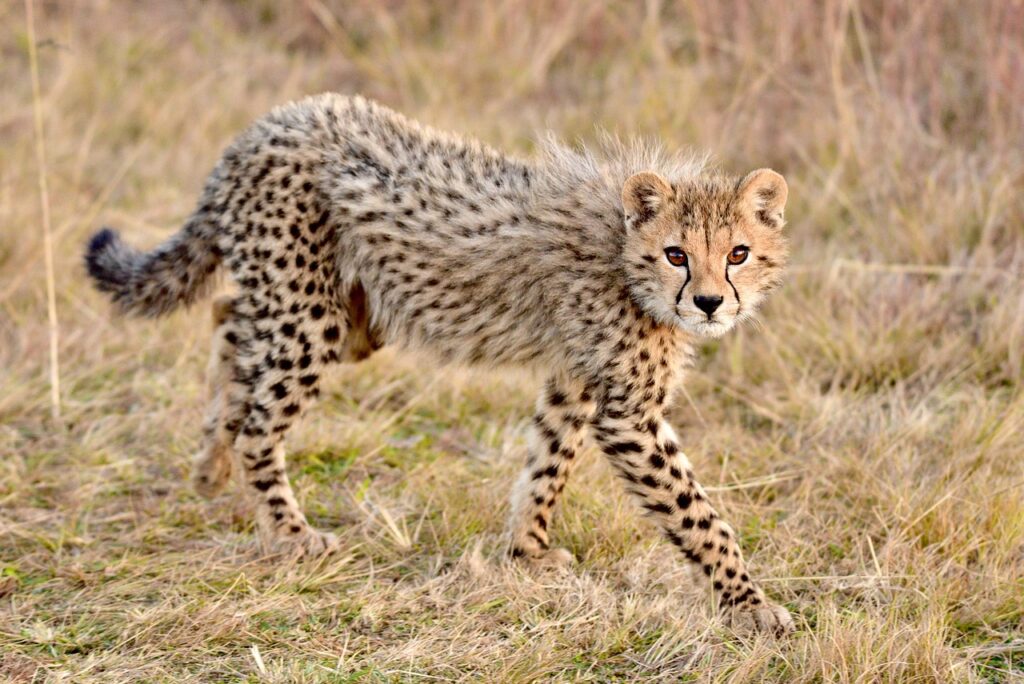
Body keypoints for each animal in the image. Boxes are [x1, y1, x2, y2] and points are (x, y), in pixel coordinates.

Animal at [86, 93, 790, 634]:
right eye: (677, 254)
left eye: (737, 253)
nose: (707, 303)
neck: (622, 252)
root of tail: (269, 124)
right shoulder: (628, 414)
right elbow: (698, 513)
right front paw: (750, 606)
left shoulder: (575, 380)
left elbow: (548, 462)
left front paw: (526, 553)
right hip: (312, 316)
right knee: (260, 416)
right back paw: (289, 532)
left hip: (340, 316)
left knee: (228, 319)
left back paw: (210, 463)